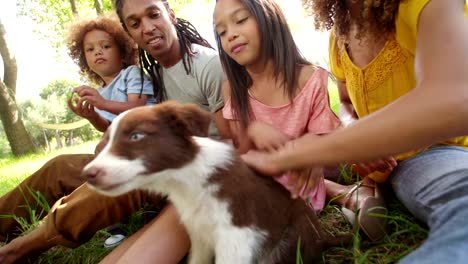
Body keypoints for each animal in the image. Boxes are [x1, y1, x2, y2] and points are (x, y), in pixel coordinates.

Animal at [82, 101, 350, 264]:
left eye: (136, 136)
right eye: (106, 141)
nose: (88, 174)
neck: (189, 181)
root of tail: (324, 239)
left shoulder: (238, 236)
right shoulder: (199, 235)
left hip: (287, 243)